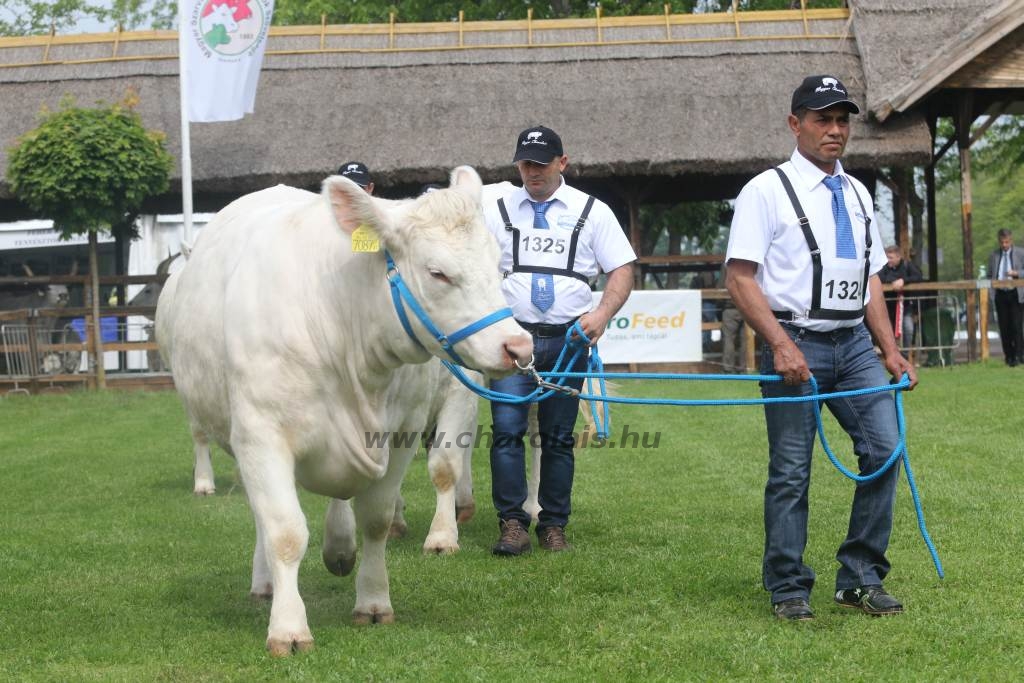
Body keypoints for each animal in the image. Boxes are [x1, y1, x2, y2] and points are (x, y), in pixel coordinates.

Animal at [157, 166, 536, 655]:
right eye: (437, 273)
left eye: (498, 266)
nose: (518, 346)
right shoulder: (261, 435)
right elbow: (283, 530)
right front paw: (288, 627)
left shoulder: (405, 431)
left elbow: (382, 514)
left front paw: (374, 600)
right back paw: (265, 580)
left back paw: (340, 547)